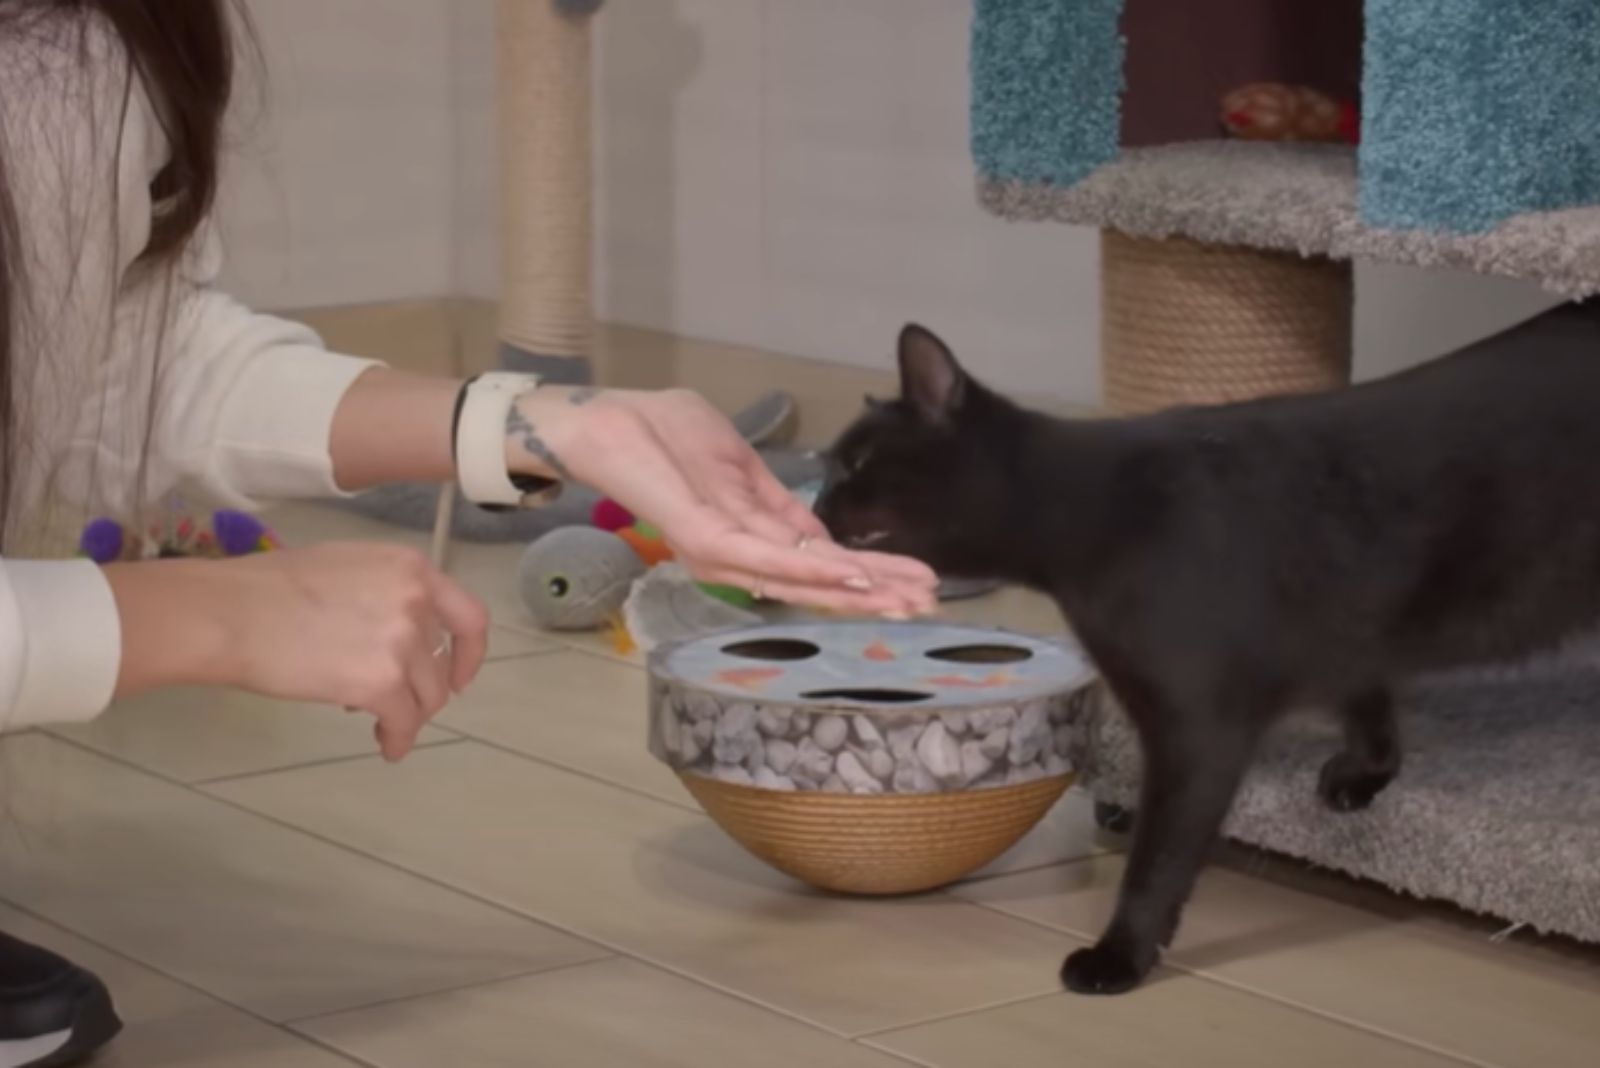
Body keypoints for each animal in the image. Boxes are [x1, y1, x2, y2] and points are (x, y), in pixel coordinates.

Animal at [812, 306, 1600, 991]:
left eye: (855, 464)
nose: (815, 508)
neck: (1093, 518)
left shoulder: (1197, 726)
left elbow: (1156, 859)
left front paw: (1119, 958)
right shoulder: (1344, 629)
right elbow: (1365, 691)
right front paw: (1368, 770)